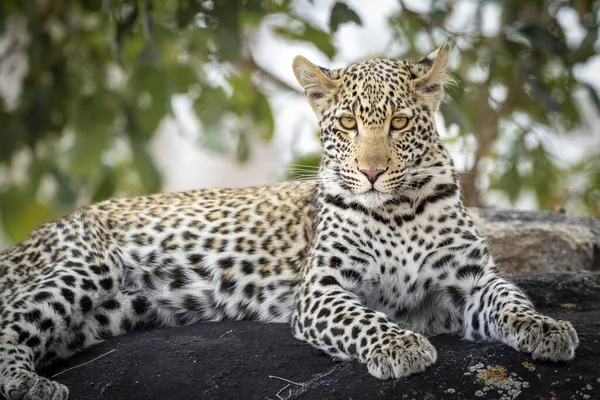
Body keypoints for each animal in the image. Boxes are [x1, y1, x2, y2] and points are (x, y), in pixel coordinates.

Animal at [1, 42, 580, 398]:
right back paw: (30, 385)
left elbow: (510, 299)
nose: (372, 172)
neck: (396, 211)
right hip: (82, 265)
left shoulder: (470, 280)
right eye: (347, 124)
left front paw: (548, 329)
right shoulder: (323, 289)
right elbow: (363, 320)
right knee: (9, 323)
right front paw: (402, 346)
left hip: (102, 316)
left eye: (398, 123)